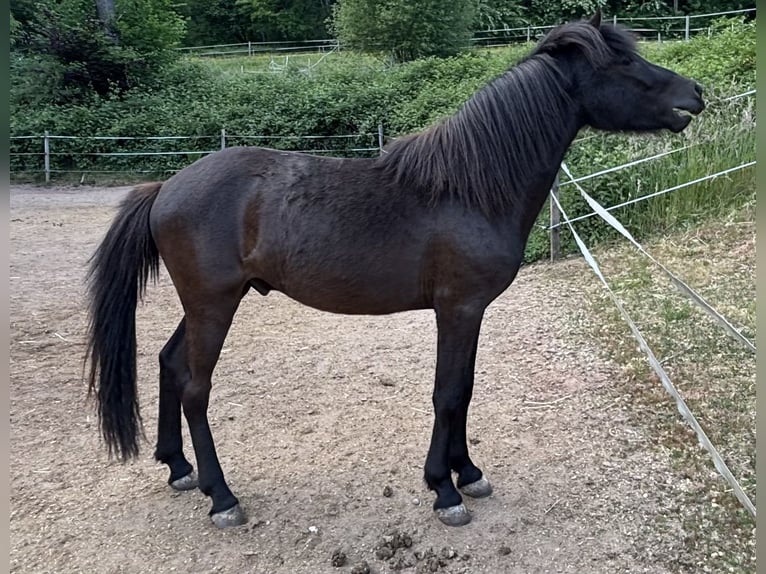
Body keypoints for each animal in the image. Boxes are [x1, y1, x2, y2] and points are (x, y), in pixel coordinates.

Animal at [85, 12, 705, 529]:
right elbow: (448, 393)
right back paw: (222, 497)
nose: (695, 93)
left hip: (209, 303)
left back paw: (178, 469)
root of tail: (168, 186)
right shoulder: (458, 308)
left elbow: (465, 389)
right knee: (195, 388)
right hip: (213, 305)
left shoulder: (469, 313)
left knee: (169, 365)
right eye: (622, 62)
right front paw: (445, 491)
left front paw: (468, 474)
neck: (469, 189)